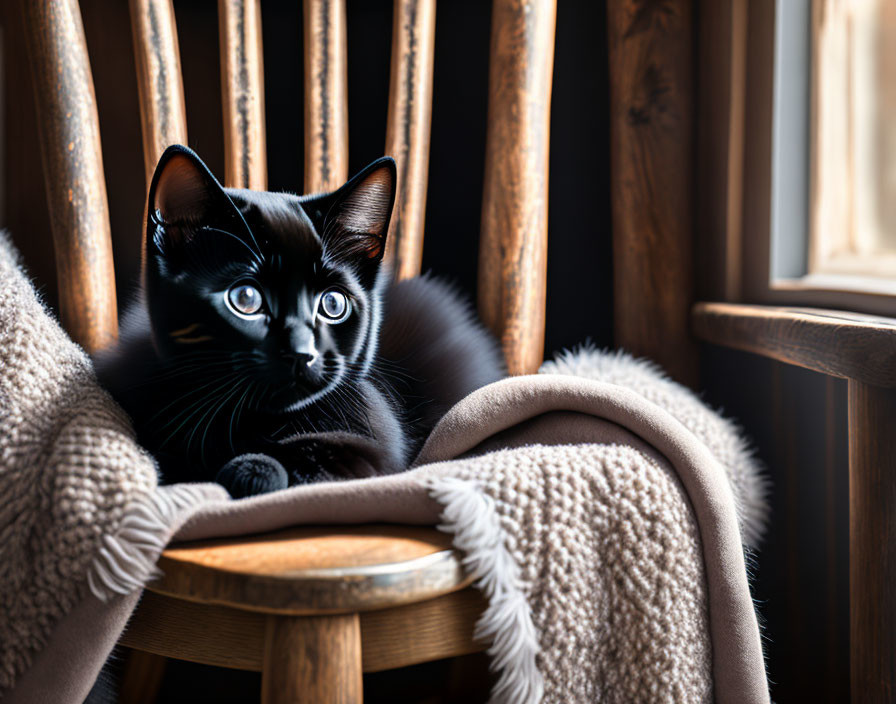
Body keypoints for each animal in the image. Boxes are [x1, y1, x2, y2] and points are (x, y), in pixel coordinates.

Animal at [97, 144, 508, 496]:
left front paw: (250, 469)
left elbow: (316, 450)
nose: (301, 353)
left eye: (333, 303)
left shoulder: (375, 441)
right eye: (246, 299)